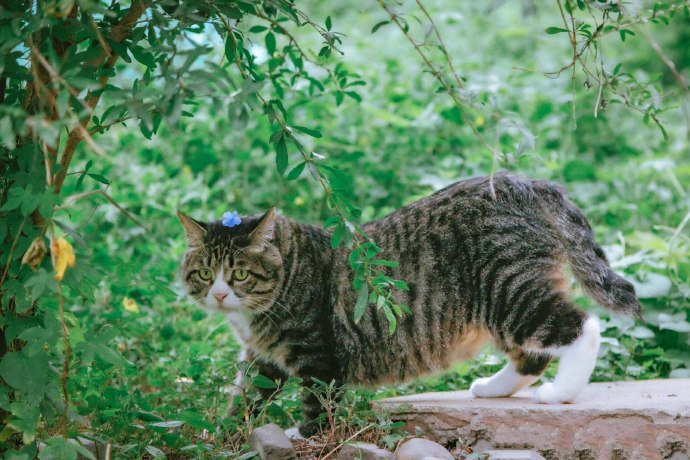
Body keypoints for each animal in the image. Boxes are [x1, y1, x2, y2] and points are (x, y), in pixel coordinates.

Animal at [176, 172, 640, 434]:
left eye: (239, 274)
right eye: (205, 273)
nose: (219, 294)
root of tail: (525, 183)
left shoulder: (317, 357)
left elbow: (316, 408)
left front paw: (304, 438)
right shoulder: (262, 359)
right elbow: (246, 400)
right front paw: (226, 434)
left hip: (510, 292)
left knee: (583, 327)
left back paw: (560, 393)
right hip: (504, 303)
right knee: (532, 355)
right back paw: (491, 388)